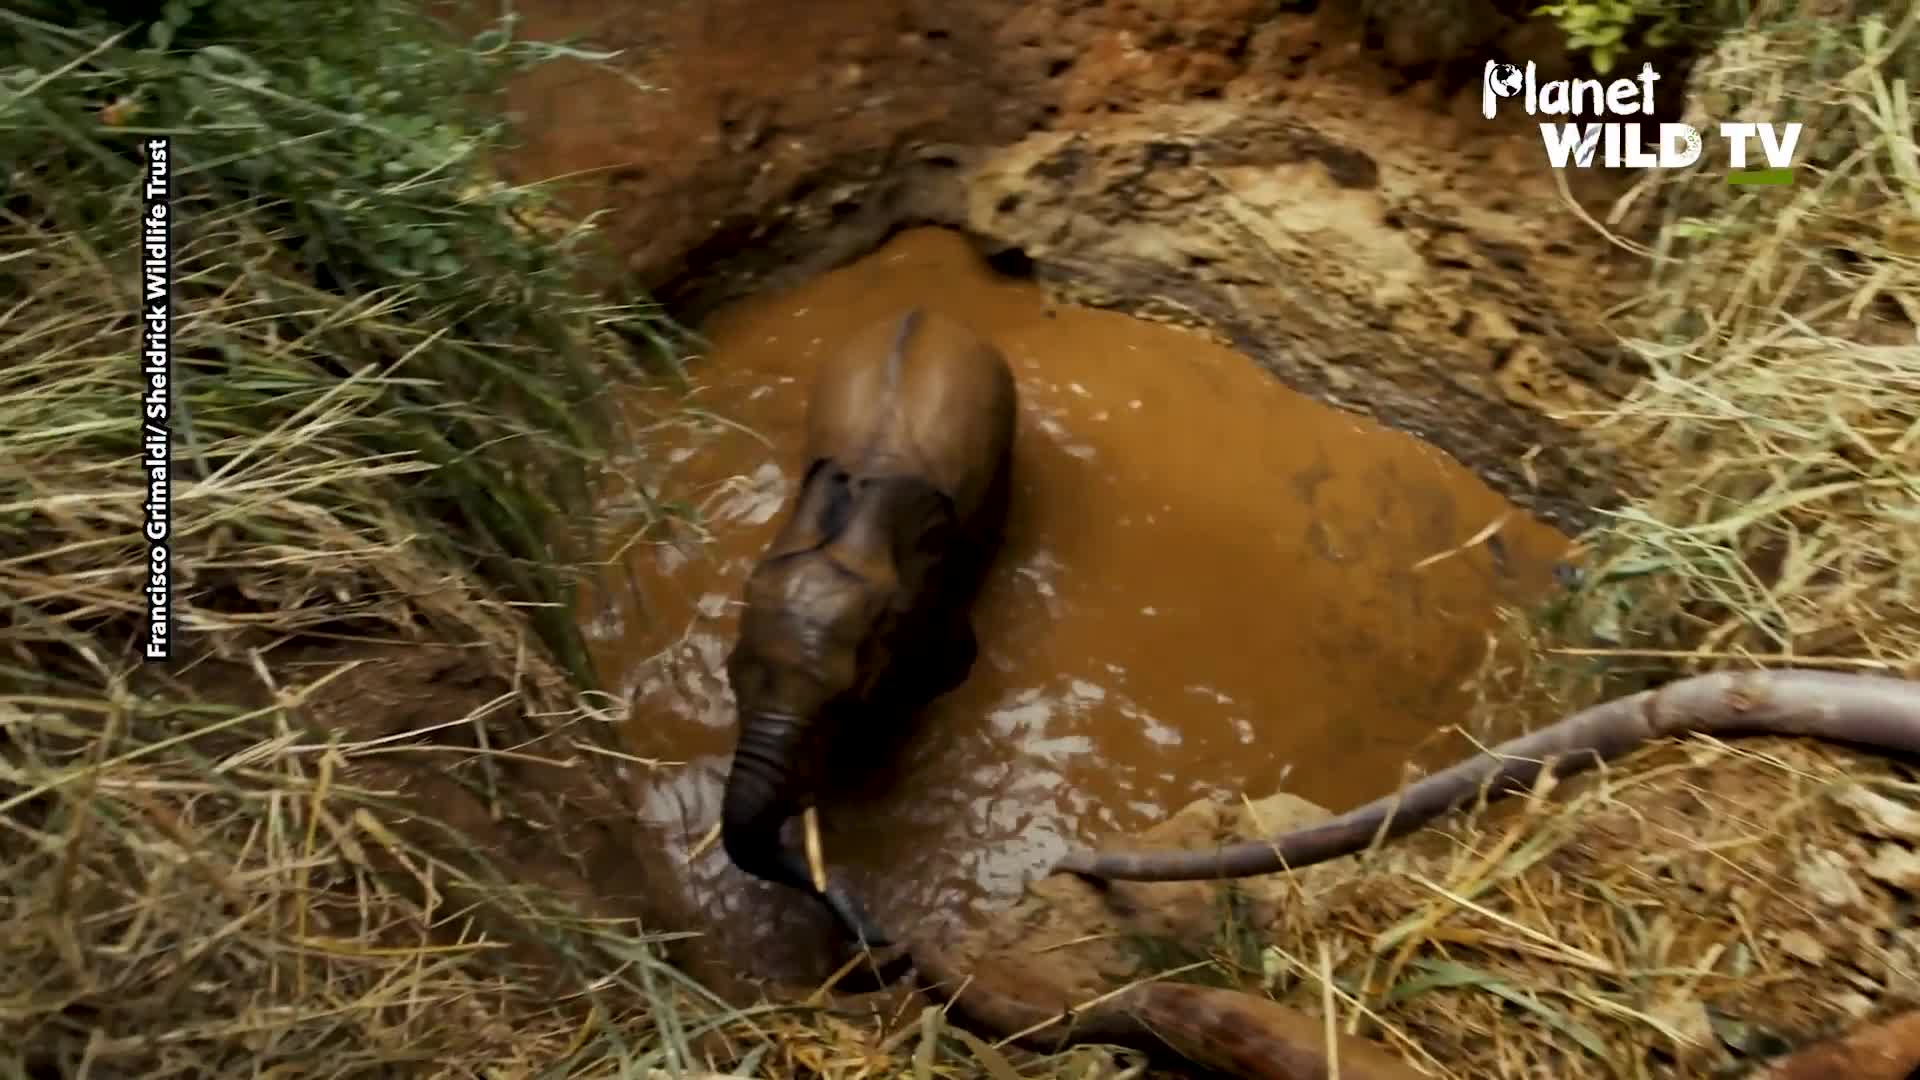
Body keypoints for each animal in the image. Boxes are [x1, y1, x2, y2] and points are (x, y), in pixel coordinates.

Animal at [719, 306, 1017, 948]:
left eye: (840, 701)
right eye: (729, 681)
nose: (884, 941)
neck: (844, 542)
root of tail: (928, 309)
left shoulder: (935, 580)